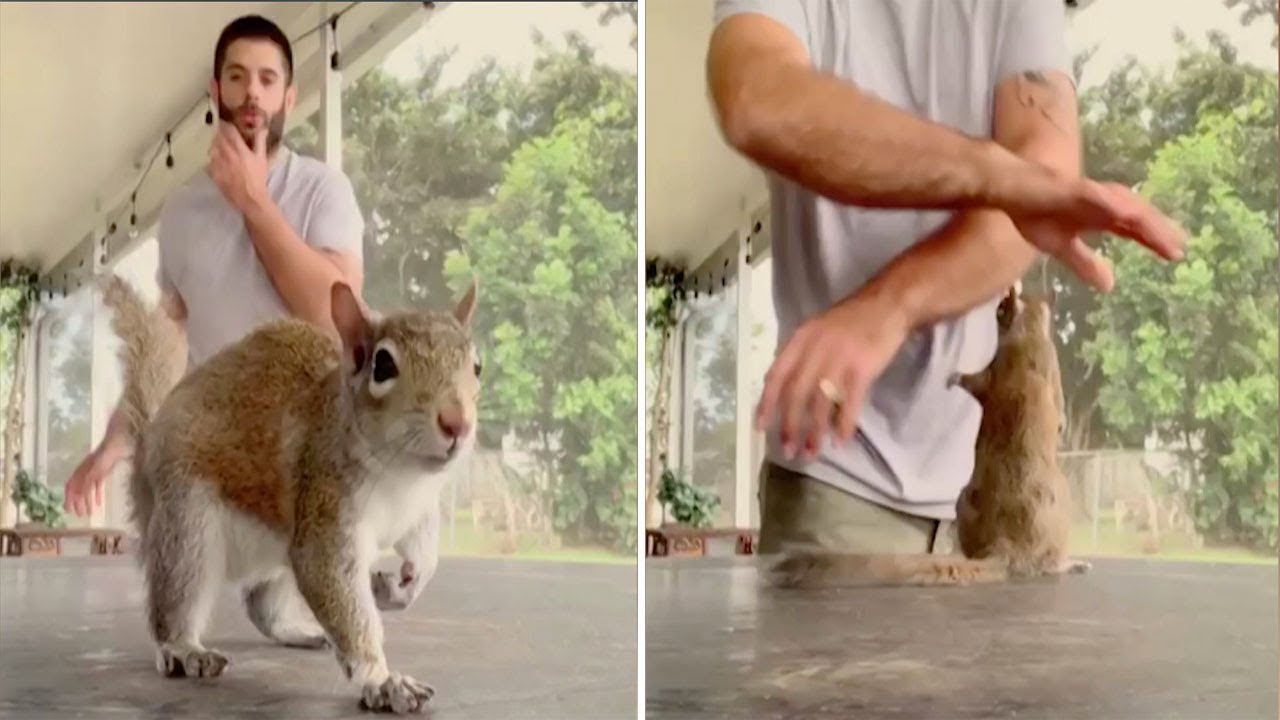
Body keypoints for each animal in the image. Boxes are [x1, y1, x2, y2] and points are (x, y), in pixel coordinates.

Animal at [99, 273, 480, 714]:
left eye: (477, 366)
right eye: (383, 365)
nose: (457, 423)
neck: (402, 477)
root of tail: (145, 449)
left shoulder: (419, 508)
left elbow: (425, 554)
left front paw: (401, 586)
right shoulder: (324, 507)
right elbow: (337, 592)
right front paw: (382, 680)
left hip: (278, 552)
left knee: (262, 603)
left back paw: (300, 629)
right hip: (184, 520)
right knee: (177, 593)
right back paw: (183, 648)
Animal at [770, 284, 1091, 588]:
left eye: (1002, 308)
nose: (997, 305)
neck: (1032, 333)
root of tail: (1010, 550)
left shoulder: (1006, 371)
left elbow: (979, 383)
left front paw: (954, 377)